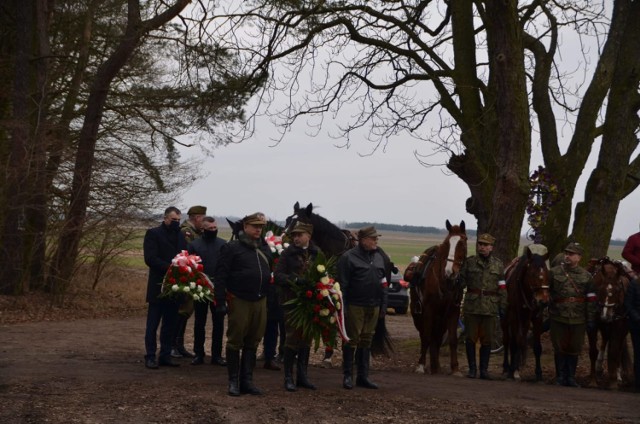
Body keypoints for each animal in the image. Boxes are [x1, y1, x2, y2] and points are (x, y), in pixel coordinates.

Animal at [410, 220, 464, 372]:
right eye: (447, 244)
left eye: (462, 243)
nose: (450, 271)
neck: (444, 282)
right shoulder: (428, 310)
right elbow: (426, 337)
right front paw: (421, 365)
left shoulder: (453, 311)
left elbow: (452, 340)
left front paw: (455, 368)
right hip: (418, 315)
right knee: (425, 335)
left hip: (441, 320)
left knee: (437, 339)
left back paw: (436, 365)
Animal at [500, 245, 552, 380]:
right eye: (533, 273)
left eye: (547, 273)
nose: (543, 301)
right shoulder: (514, 316)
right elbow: (515, 341)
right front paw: (513, 369)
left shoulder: (537, 317)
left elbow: (536, 346)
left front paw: (539, 373)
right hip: (506, 319)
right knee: (507, 341)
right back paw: (507, 367)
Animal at [588, 256, 632, 390]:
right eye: (600, 289)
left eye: (618, 290)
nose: (606, 316)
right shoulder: (593, 323)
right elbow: (593, 351)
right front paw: (593, 380)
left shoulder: (619, 325)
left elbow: (614, 352)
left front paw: (613, 382)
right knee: (605, 341)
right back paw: (599, 367)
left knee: (619, 349)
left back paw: (617, 375)